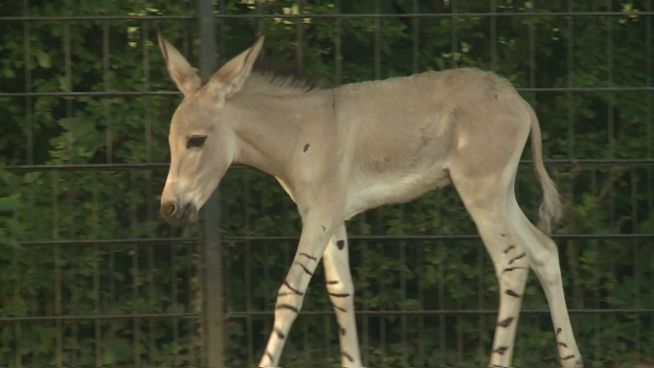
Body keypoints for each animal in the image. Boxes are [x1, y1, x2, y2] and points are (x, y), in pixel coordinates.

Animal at [158, 35, 584, 368]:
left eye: (196, 140)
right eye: (171, 140)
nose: (169, 209)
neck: (298, 134)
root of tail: (519, 101)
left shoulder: (318, 215)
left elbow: (290, 293)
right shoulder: (331, 217)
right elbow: (340, 290)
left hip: (481, 193)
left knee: (513, 263)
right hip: (501, 193)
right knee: (543, 251)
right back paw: (571, 357)